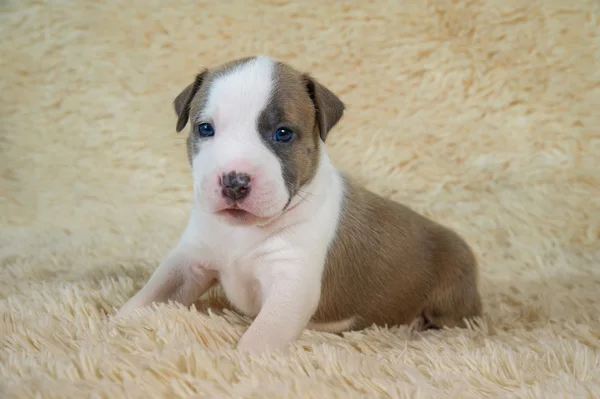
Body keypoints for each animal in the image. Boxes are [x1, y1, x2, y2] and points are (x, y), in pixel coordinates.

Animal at [117, 56, 482, 354]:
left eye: (283, 134)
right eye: (205, 129)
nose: (234, 181)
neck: (243, 231)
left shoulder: (291, 284)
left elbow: (259, 339)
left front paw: (241, 363)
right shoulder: (189, 261)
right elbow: (151, 294)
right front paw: (118, 323)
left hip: (453, 297)